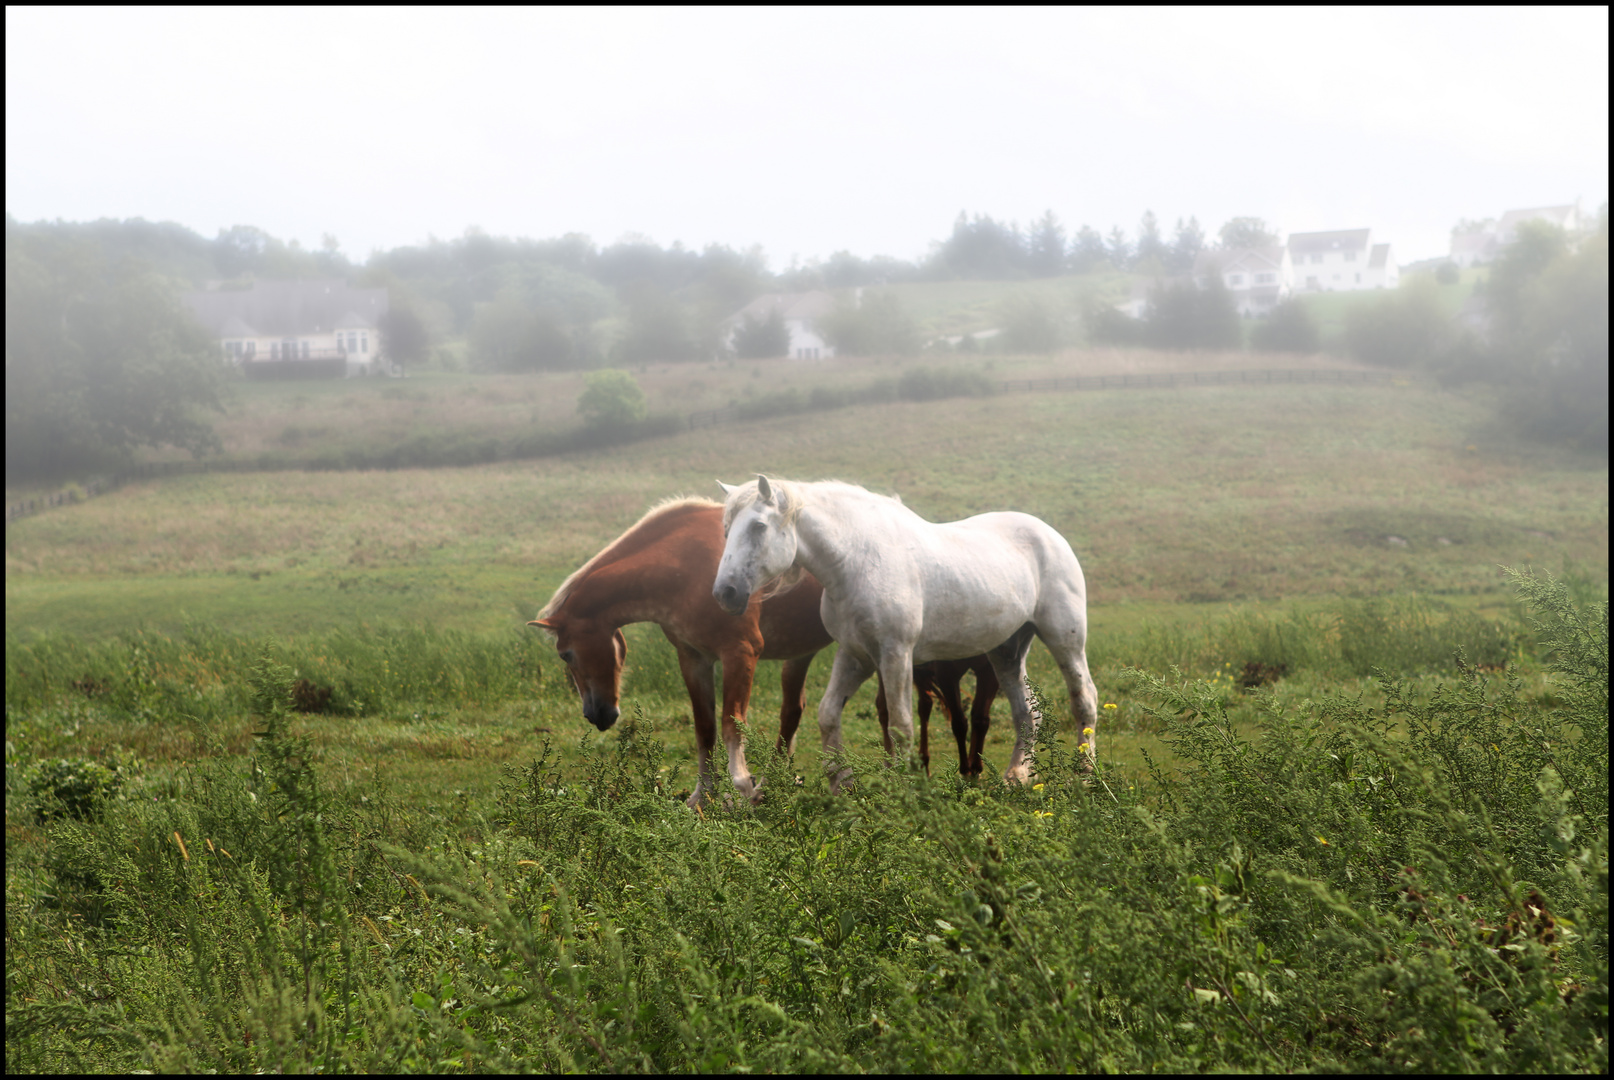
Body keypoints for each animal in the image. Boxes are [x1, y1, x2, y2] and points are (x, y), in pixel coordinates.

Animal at [529, 497, 994, 800]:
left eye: (566, 653)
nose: (598, 714)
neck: (683, 566)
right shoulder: (693, 658)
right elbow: (705, 729)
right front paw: (703, 795)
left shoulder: (741, 653)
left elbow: (732, 723)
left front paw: (740, 787)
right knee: (797, 712)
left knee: (883, 710)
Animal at [716, 474, 1103, 787]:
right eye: (726, 529)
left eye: (759, 527)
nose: (725, 593)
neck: (858, 560)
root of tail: (1049, 534)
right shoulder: (856, 656)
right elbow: (828, 715)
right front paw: (841, 783)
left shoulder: (896, 654)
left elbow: (900, 725)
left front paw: (903, 789)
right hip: (1006, 650)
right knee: (1027, 712)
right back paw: (1017, 777)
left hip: (1065, 640)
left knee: (1084, 699)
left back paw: (1085, 777)